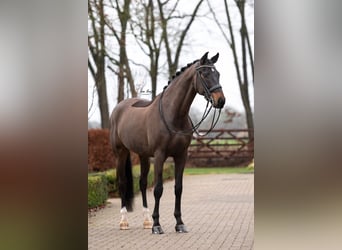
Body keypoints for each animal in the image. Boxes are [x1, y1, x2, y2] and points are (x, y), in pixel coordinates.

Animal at [109, 51, 226, 233]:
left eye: (218, 74)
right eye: (204, 73)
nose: (220, 101)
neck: (174, 114)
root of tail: (119, 108)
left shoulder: (181, 156)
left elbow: (178, 188)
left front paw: (179, 223)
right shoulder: (160, 155)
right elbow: (158, 189)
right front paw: (157, 225)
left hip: (143, 155)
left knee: (142, 183)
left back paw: (146, 221)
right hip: (120, 153)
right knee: (122, 183)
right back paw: (124, 222)